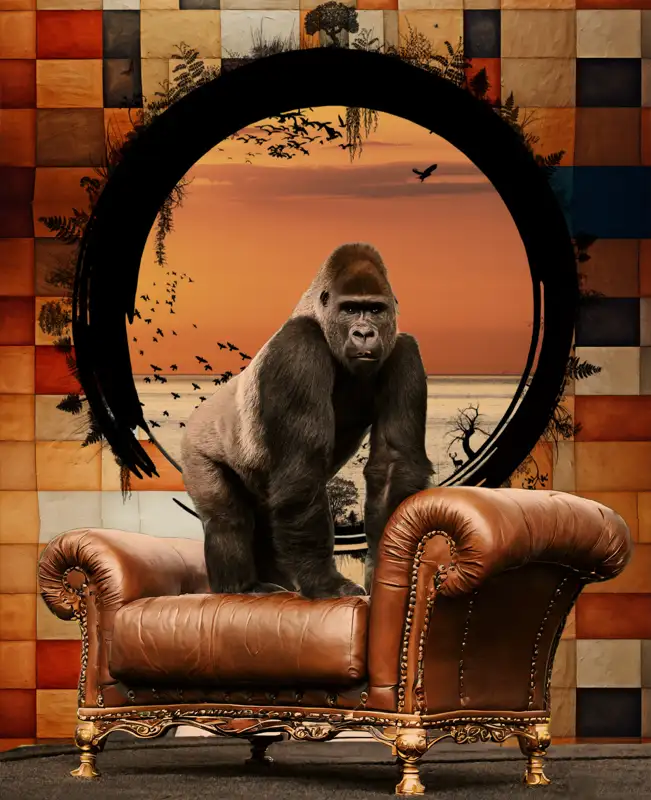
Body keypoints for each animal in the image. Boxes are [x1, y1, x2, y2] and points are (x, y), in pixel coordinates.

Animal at [180, 243, 433, 599]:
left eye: (375, 310)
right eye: (350, 309)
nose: (364, 333)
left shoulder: (405, 351)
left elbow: (392, 463)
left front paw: (388, 567)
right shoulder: (298, 347)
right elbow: (303, 466)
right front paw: (324, 582)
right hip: (196, 446)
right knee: (226, 518)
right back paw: (239, 586)